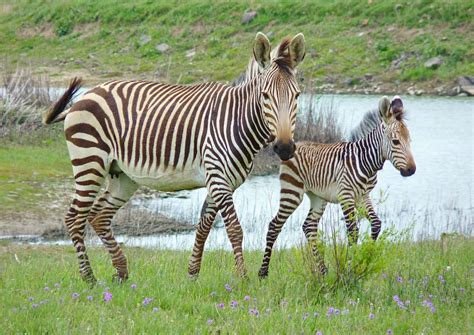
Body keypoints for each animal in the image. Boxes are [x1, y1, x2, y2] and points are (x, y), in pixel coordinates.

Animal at [42, 32, 306, 284]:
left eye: (297, 96)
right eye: (265, 96)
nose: (284, 148)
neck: (236, 121)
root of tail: (85, 95)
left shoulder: (221, 181)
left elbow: (203, 226)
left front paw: (192, 274)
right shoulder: (219, 178)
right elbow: (234, 229)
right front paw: (243, 278)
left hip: (122, 175)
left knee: (99, 216)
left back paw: (121, 272)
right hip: (90, 161)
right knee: (74, 218)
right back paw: (89, 277)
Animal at [258, 95, 416, 278]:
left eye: (409, 140)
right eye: (396, 141)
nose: (411, 170)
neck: (365, 161)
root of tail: (294, 145)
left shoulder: (363, 196)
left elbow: (376, 224)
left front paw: (367, 258)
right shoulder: (346, 195)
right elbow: (353, 232)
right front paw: (350, 269)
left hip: (318, 197)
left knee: (309, 226)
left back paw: (323, 271)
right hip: (292, 191)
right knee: (274, 225)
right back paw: (262, 272)